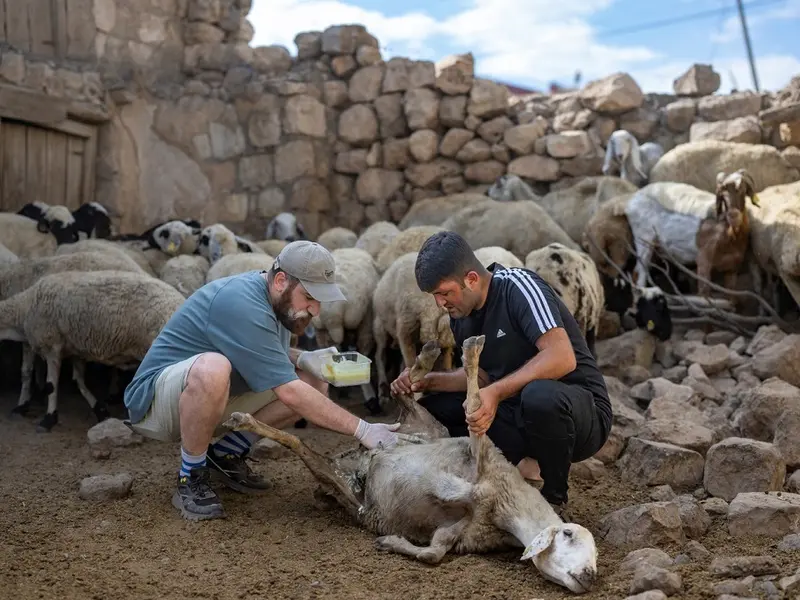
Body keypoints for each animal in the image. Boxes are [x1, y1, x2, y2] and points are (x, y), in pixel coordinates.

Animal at [0, 268, 183, 432]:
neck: (24, 309)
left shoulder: (52, 345)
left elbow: (51, 385)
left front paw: (48, 419)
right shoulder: (75, 349)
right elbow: (76, 380)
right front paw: (100, 410)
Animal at [692, 169, 764, 298]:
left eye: (742, 189)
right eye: (722, 196)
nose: (733, 216)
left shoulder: (732, 268)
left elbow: (731, 297)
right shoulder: (703, 260)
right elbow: (703, 295)